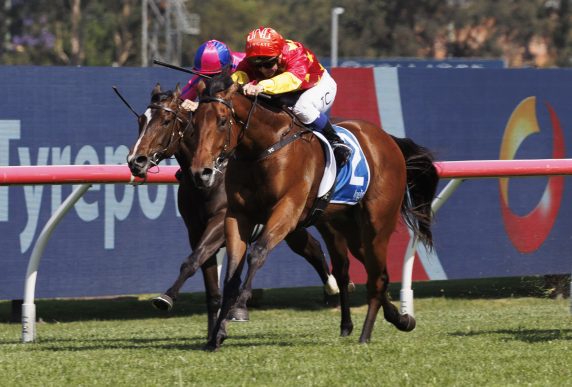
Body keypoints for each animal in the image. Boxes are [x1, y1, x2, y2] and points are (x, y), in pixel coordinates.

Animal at [125, 83, 340, 338]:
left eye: (166, 121)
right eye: (141, 120)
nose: (135, 161)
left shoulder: (220, 222)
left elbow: (194, 259)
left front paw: (166, 297)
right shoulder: (195, 229)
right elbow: (208, 283)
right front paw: (213, 332)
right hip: (292, 222)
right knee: (311, 246)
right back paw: (332, 288)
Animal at [189, 73, 438, 352]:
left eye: (222, 121)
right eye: (194, 122)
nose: (201, 172)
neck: (264, 148)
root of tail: (388, 140)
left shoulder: (287, 209)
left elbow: (258, 252)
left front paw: (240, 305)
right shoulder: (238, 216)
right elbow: (231, 274)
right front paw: (216, 336)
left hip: (378, 225)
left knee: (375, 277)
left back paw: (366, 335)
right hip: (350, 229)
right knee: (371, 272)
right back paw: (399, 319)